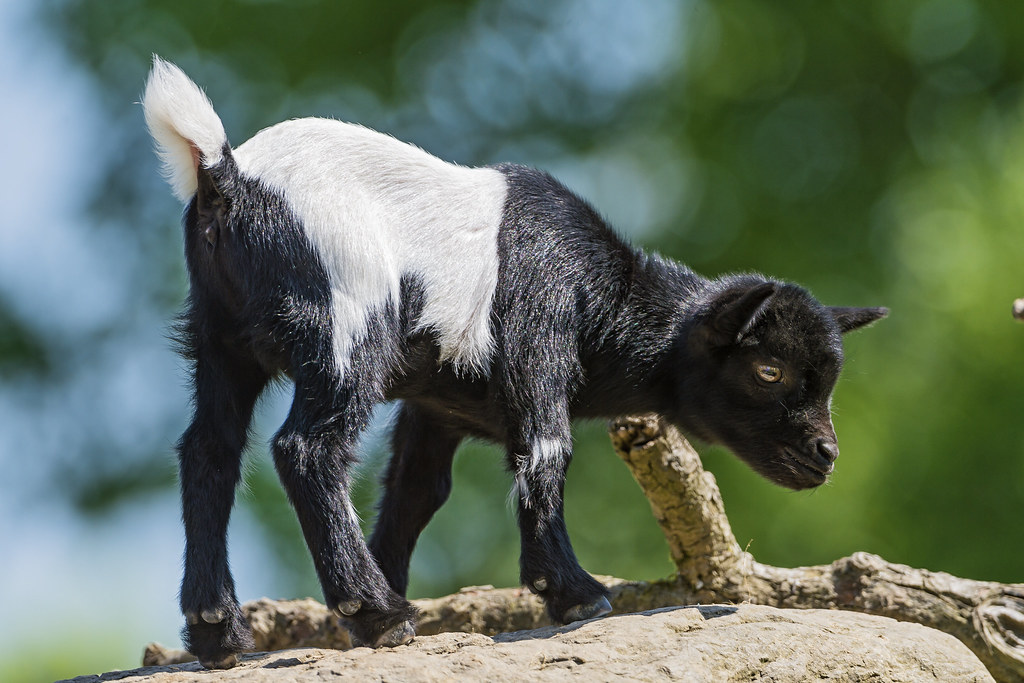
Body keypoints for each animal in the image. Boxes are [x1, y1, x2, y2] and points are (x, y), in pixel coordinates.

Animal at [143, 57, 887, 669]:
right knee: (306, 447)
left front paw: (362, 607)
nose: (825, 453)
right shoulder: (541, 330)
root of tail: (226, 175)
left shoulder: (435, 406)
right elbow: (547, 451)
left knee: (209, 449)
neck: (605, 295)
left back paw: (219, 632)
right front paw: (576, 595)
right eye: (769, 371)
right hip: (347, 320)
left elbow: (416, 491)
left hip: (218, 337)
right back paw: (378, 613)